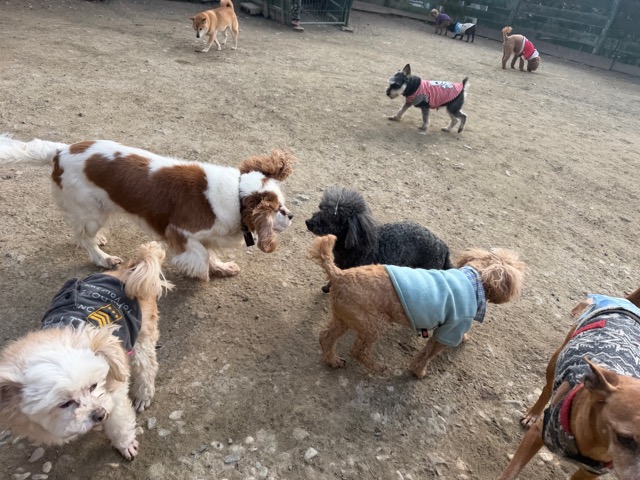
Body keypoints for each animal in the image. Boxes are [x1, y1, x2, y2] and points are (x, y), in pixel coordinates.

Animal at [0, 135, 294, 281]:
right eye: (278, 209)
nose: (292, 215)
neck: (236, 195)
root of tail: (61, 152)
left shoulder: (206, 236)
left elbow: (210, 254)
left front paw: (221, 268)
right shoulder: (180, 231)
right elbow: (199, 256)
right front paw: (199, 272)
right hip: (92, 212)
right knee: (84, 237)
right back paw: (102, 258)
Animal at [0, 242, 172, 460]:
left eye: (93, 386)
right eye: (64, 404)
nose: (99, 414)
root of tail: (127, 270)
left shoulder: (114, 391)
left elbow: (119, 423)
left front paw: (125, 444)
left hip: (141, 337)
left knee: (147, 367)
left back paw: (143, 395)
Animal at [305, 187, 453, 293]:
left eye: (333, 217)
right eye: (321, 209)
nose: (308, 222)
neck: (356, 246)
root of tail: (444, 247)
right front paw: (327, 288)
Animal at [309, 235, 525, 377]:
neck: (474, 279)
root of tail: (339, 275)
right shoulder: (449, 330)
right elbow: (427, 355)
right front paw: (419, 372)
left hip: (345, 317)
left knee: (326, 336)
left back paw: (333, 361)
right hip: (373, 324)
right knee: (358, 350)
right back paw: (378, 367)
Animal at [499, 292, 640, 480]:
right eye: (624, 438)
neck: (595, 443)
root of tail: (626, 302)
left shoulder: (590, 471)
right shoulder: (538, 433)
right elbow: (511, 472)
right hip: (555, 361)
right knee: (547, 389)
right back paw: (532, 414)